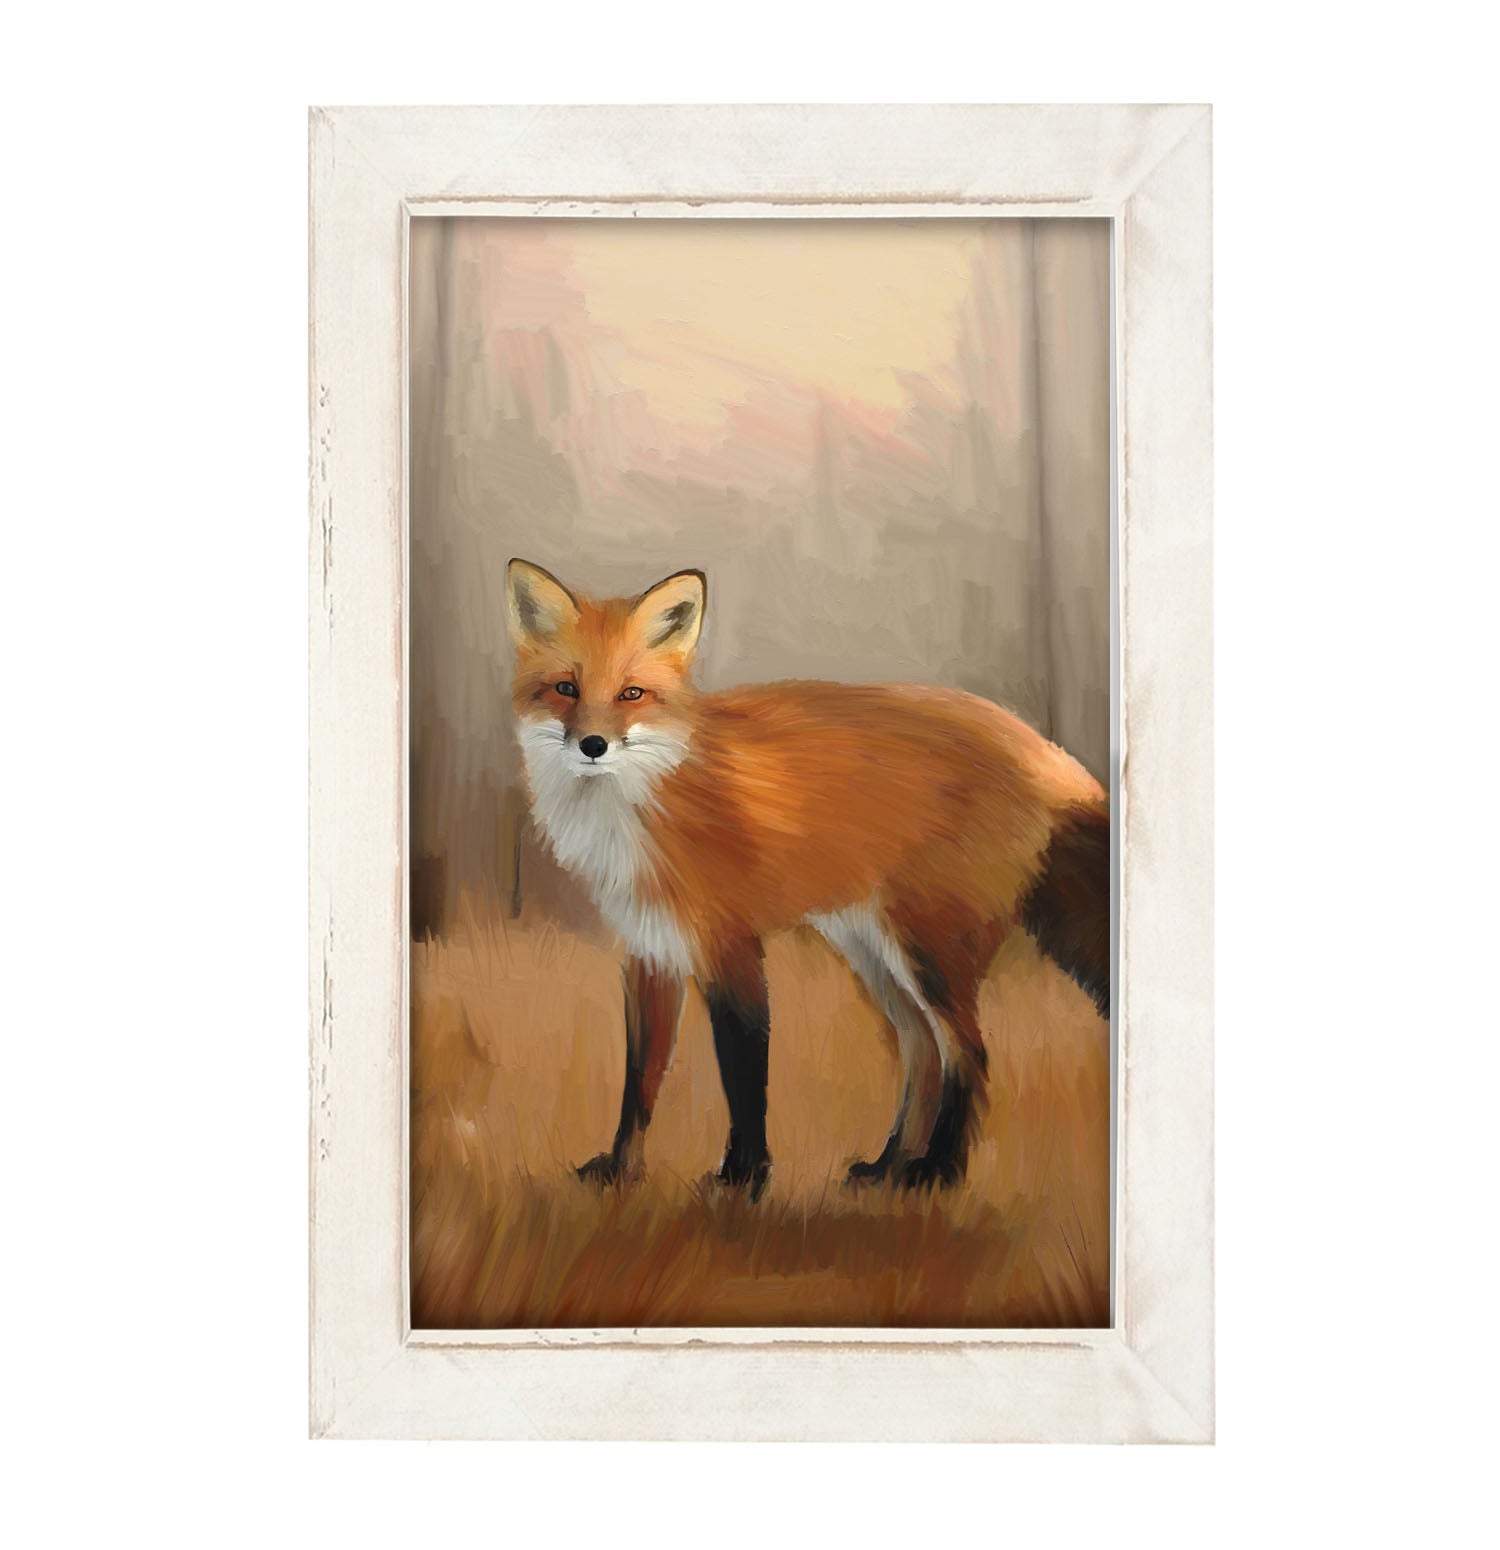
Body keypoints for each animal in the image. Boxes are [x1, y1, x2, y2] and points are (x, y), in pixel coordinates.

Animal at [505, 558, 1110, 1199]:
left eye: (631, 693)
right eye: (566, 689)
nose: (593, 745)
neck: (646, 800)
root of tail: (1046, 752)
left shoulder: (731, 947)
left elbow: (744, 1074)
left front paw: (744, 1178)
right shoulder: (652, 952)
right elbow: (639, 1081)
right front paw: (622, 1171)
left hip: (929, 952)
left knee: (969, 1053)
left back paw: (938, 1172)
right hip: (876, 953)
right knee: (923, 1052)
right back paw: (888, 1167)